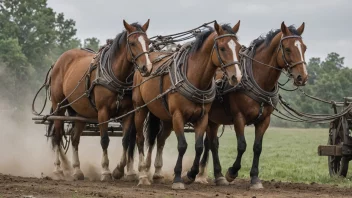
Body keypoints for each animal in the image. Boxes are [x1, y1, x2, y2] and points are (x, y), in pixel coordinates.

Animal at [48, 19, 151, 181]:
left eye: (148, 42)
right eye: (133, 43)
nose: (147, 67)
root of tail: (59, 61)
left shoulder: (128, 113)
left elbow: (126, 140)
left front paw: (119, 170)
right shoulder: (103, 112)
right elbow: (104, 140)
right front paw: (106, 171)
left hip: (80, 112)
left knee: (74, 138)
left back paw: (77, 170)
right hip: (59, 106)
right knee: (58, 136)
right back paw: (58, 170)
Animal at [132, 20, 242, 189]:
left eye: (238, 47)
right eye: (223, 48)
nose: (237, 76)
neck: (195, 78)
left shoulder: (202, 118)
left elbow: (199, 146)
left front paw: (191, 174)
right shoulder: (178, 116)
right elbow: (182, 145)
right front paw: (178, 178)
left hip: (165, 117)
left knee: (159, 139)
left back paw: (157, 172)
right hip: (141, 109)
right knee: (141, 139)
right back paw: (143, 173)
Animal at [197, 21, 310, 189]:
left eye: (304, 48)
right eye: (288, 49)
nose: (302, 77)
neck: (257, 79)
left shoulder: (264, 120)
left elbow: (257, 147)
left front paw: (255, 179)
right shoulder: (239, 118)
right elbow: (242, 145)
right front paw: (232, 172)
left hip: (213, 119)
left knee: (211, 143)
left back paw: (211, 174)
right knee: (213, 144)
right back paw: (214, 175)